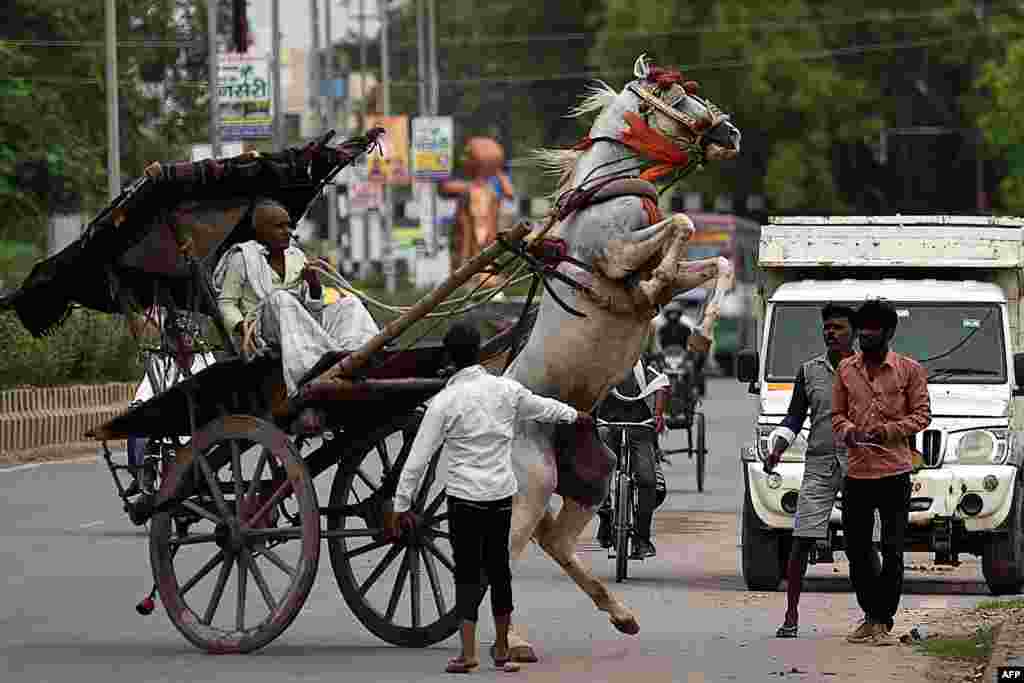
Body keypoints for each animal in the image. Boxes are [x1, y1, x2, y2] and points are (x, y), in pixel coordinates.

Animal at [499, 54, 741, 663]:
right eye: (675, 95)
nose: (730, 134)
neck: (604, 193)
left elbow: (716, 265)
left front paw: (699, 337)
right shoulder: (614, 255)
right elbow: (680, 226)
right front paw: (656, 278)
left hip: (589, 477)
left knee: (555, 539)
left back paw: (621, 614)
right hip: (531, 484)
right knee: (506, 553)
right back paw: (513, 641)